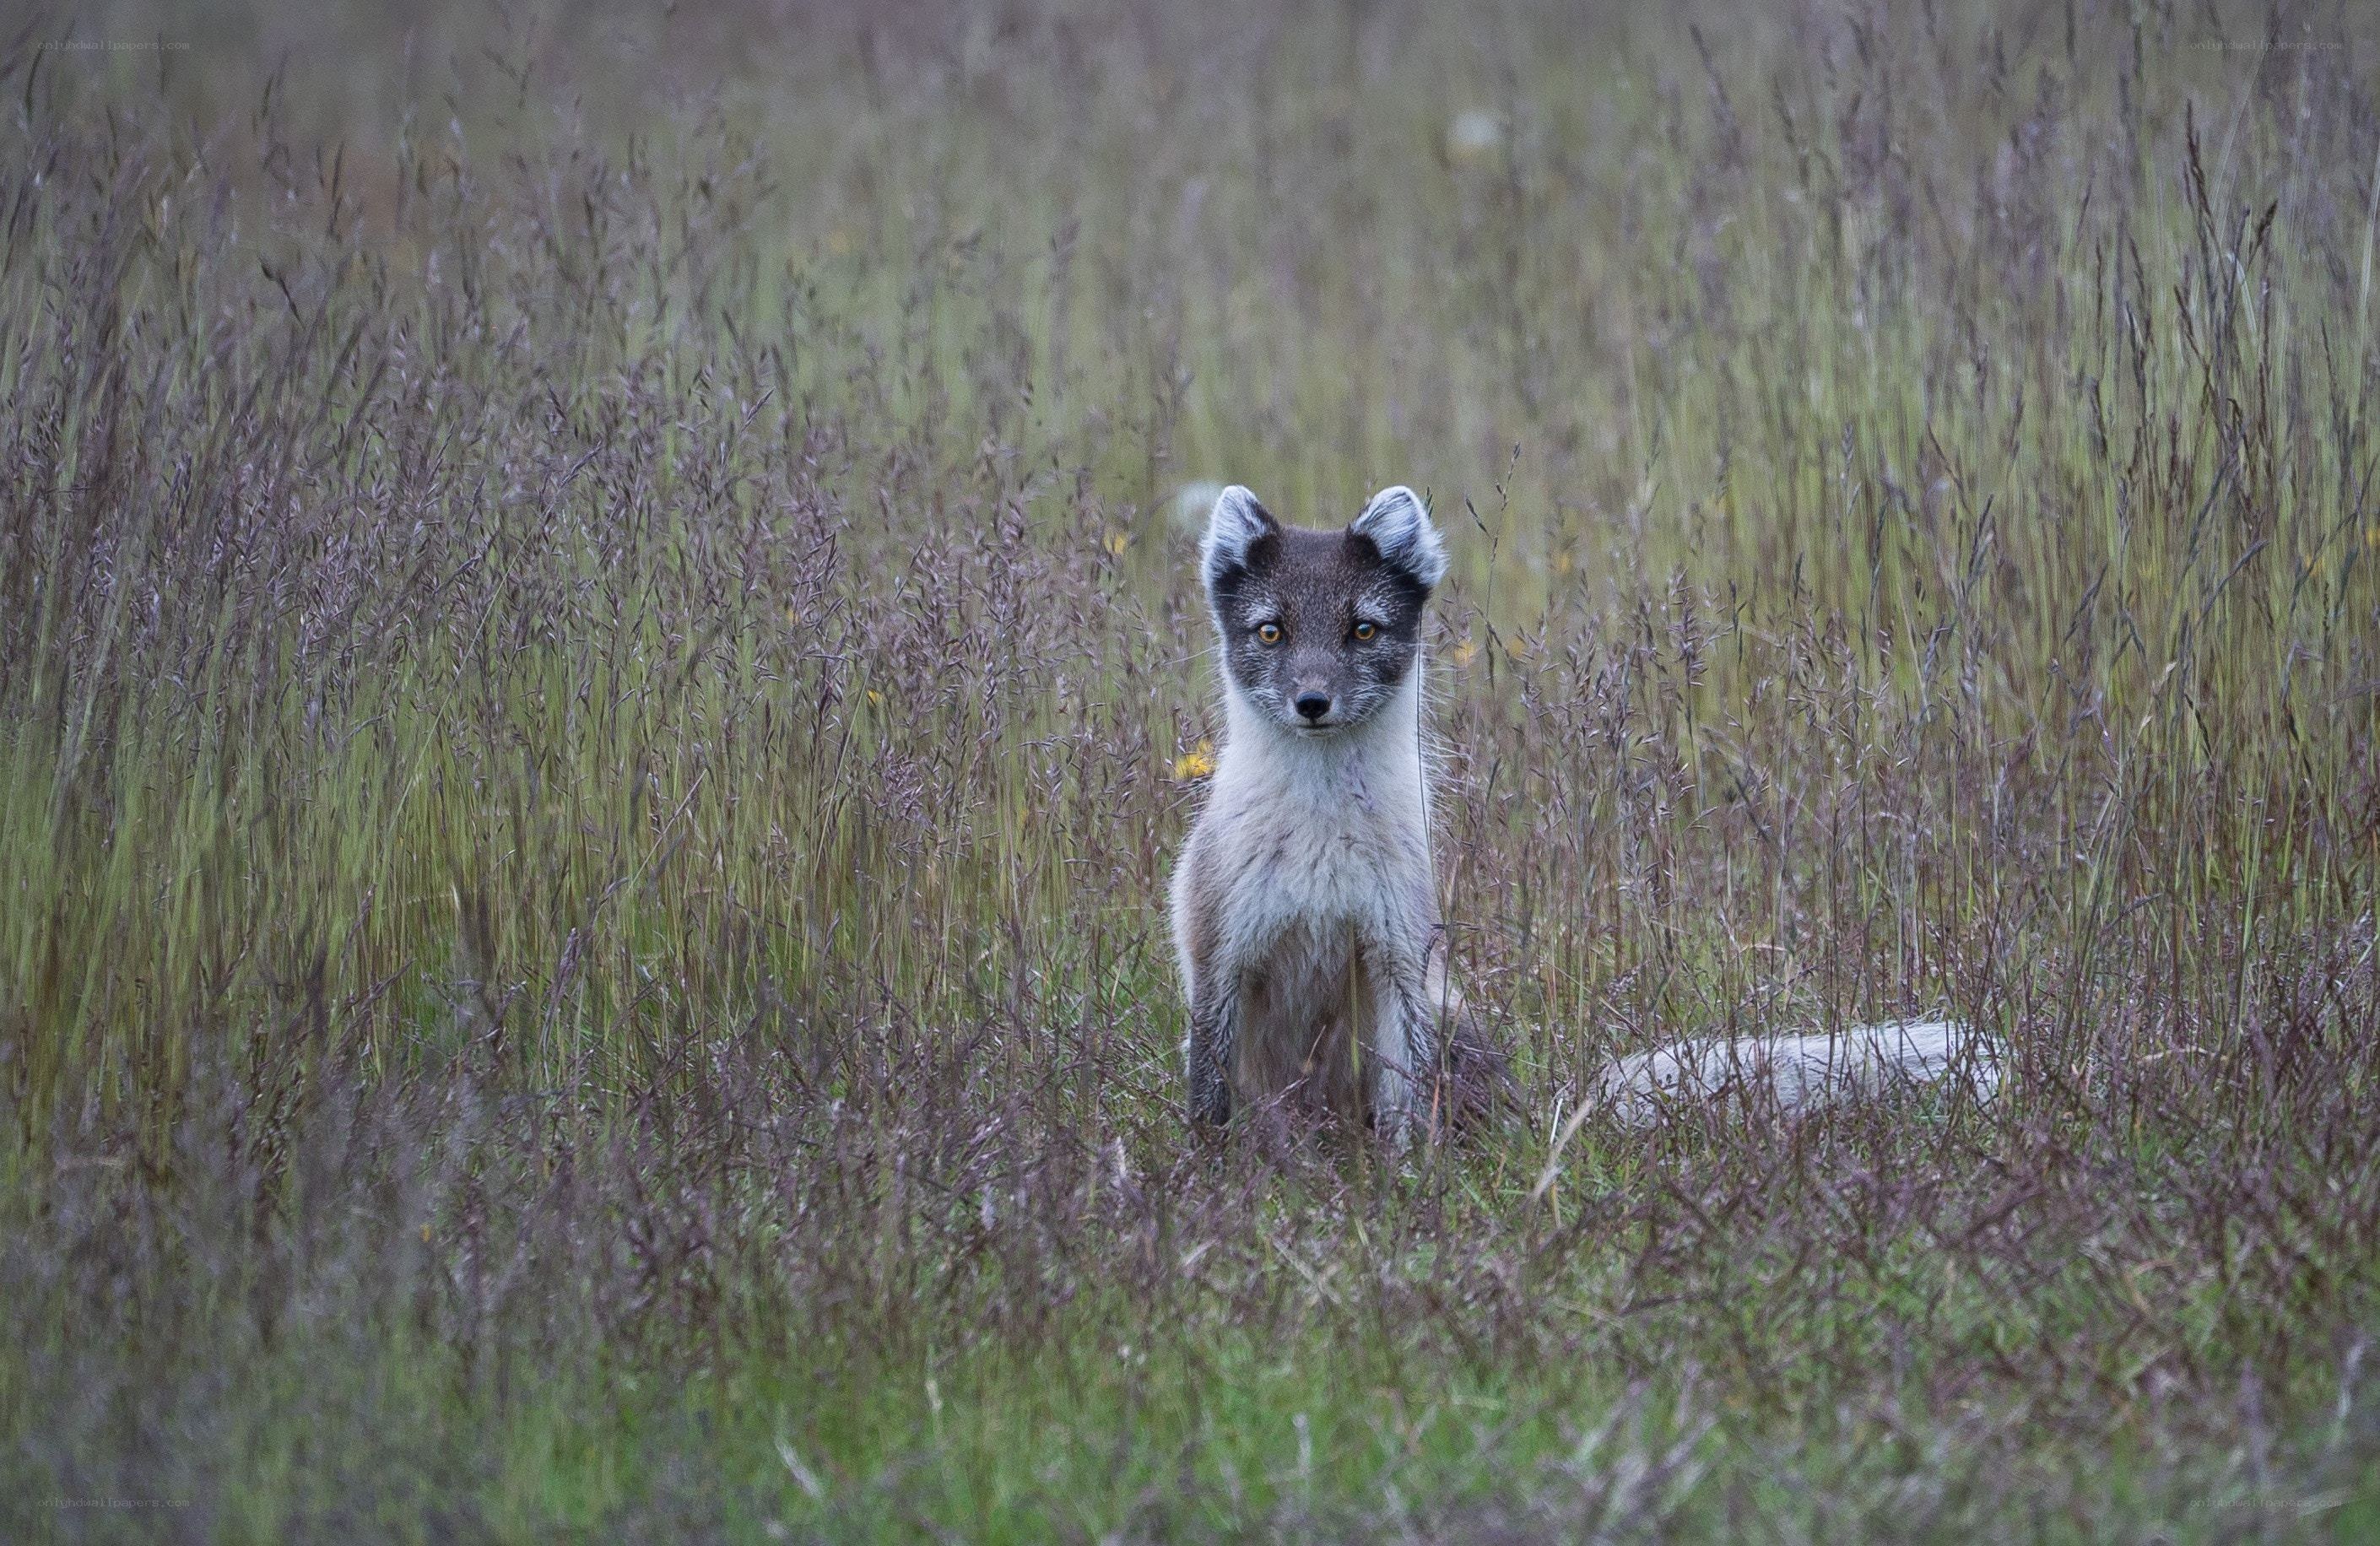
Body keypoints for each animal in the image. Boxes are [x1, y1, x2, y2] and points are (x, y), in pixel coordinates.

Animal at [1169, 484, 2000, 1145]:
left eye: (1362, 629)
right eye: (1271, 631)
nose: (1312, 702)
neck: (1320, 845)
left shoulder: (1399, 955)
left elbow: (1407, 1105)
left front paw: (1409, 1187)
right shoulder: (1219, 955)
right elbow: (1208, 1096)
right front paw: (1214, 1178)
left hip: (1446, 1012)